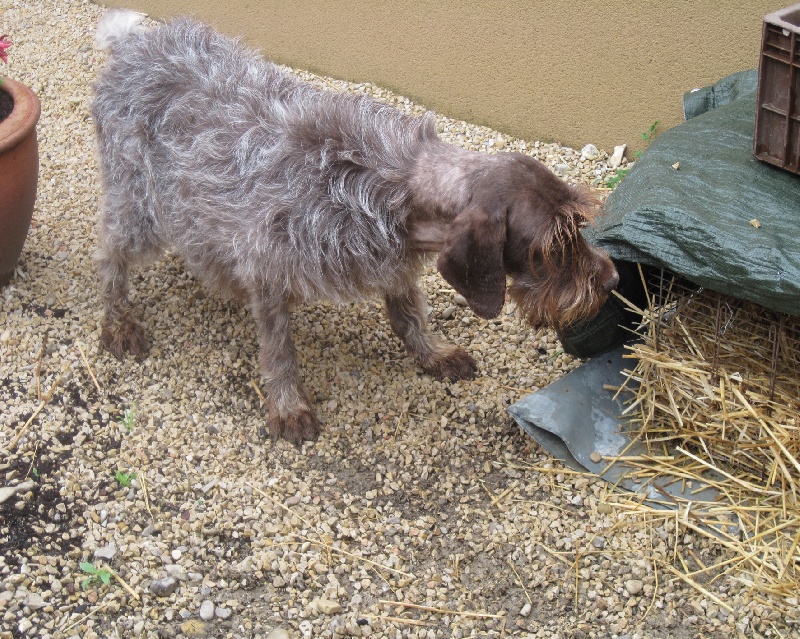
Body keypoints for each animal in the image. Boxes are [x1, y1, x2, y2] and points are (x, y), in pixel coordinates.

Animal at [94, 12, 620, 448]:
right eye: (550, 249)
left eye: (578, 227)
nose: (612, 279)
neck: (389, 186)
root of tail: (134, 44)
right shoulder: (268, 268)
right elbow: (278, 351)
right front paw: (287, 406)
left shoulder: (393, 262)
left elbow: (409, 316)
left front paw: (431, 352)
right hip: (140, 208)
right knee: (110, 256)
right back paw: (117, 322)